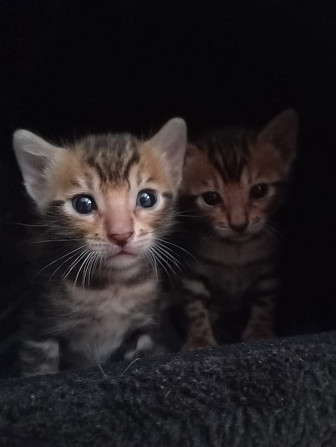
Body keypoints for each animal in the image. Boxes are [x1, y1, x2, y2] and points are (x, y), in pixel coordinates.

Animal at [12, 118, 186, 374]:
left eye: (147, 199)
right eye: (83, 204)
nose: (121, 235)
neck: (112, 288)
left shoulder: (148, 327)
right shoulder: (39, 328)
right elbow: (40, 370)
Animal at [177, 110, 298, 352]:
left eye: (259, 190)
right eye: (211, 198)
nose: (239, 224)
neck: (235, 251)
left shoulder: (269, 269)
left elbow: (265, 301)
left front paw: (260, 331)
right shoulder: (192, 270)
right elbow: (194, 305)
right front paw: (199, 339)